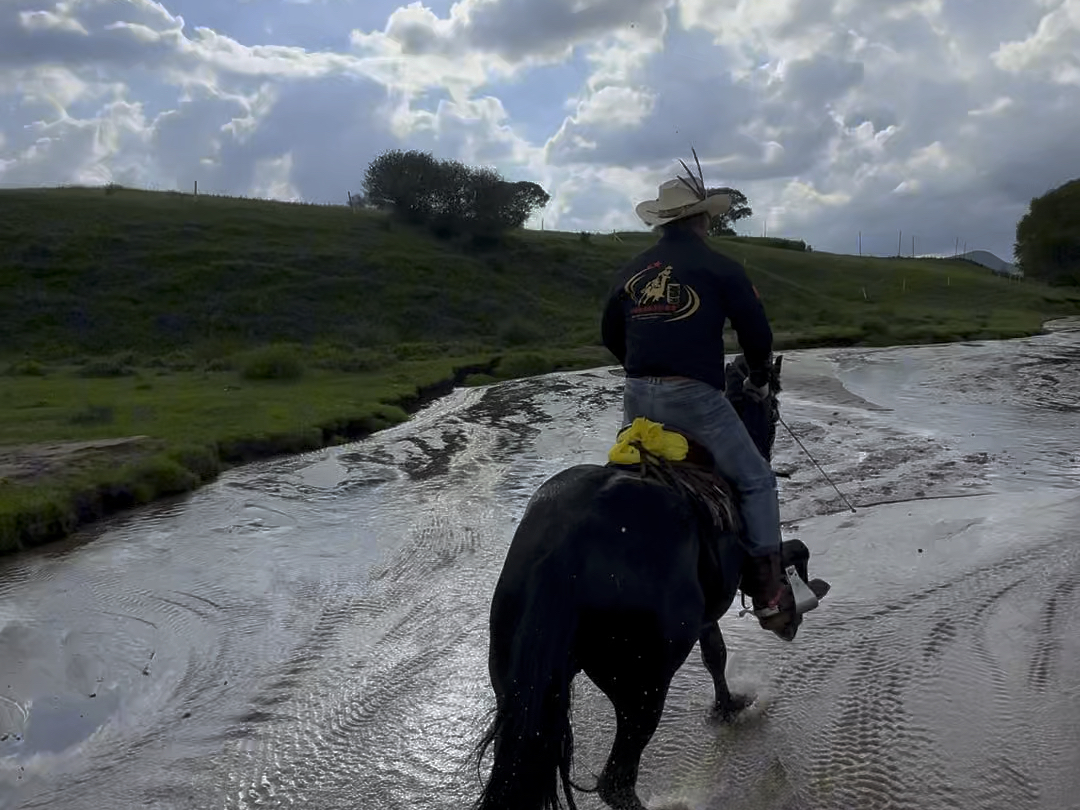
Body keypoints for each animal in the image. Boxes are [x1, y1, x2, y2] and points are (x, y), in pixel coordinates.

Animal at [468, 360, 829, 810]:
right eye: (775, 407)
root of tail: (561, 554)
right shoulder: (749, 565)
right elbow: (796, 550)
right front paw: (792, 610)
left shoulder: (706, 613)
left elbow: (715, 654)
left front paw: (727, 706)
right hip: (642, 687)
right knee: (617, 781)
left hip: (518, 684)